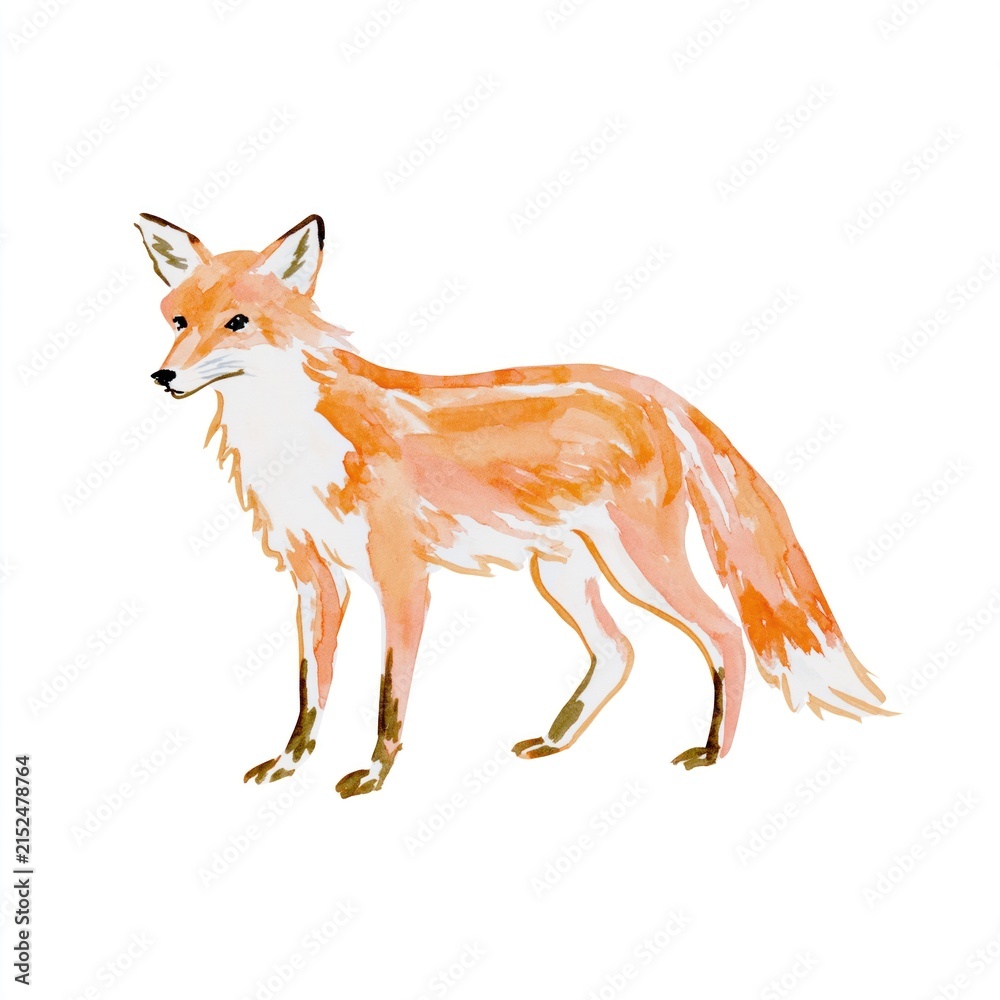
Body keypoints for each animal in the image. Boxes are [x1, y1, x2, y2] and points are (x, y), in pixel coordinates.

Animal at [135, 212, 892, 797]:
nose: (163, 375)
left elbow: (388, 698)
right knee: (618, 651)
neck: (296, 442)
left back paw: (713, 755)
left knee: (725, 635)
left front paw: (374, 776)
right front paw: (290, 765)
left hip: (637, 564)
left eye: (238, 322)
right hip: (561, 570)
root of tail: (652, 389)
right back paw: (557, 743)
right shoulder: (313, 577)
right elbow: (309, 693)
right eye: (178, 321)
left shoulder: (402, 576)